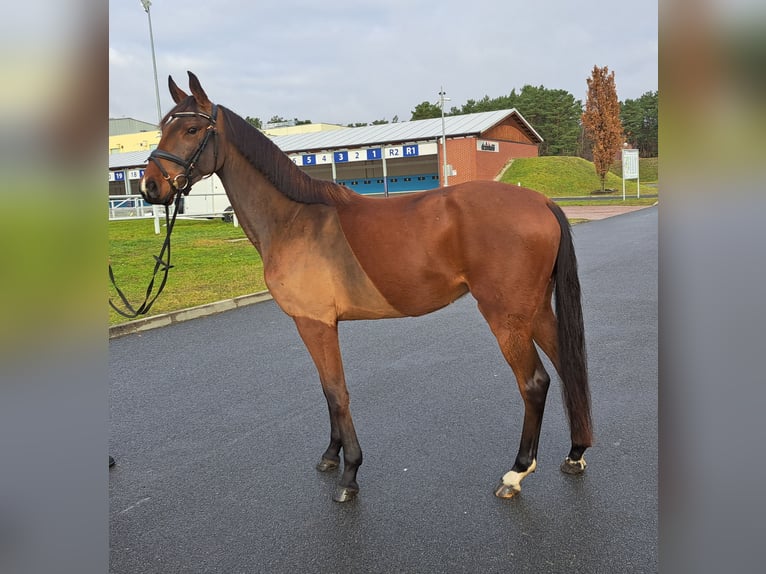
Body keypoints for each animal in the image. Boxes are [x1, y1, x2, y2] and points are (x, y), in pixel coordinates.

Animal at [140, 73, 592, 504]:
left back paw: (515, 473)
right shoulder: (318, 325)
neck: (293, 219)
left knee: (534, 383)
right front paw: (331, 455)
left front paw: (350, 474)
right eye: (163, 127)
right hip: (536, 311)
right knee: (567, 367)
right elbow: (327, 391)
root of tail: (541, 202)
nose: (150, 186)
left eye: (192, 129)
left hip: (506, 317)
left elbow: (337, 392)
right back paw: (575, 453)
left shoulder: (315, 323)